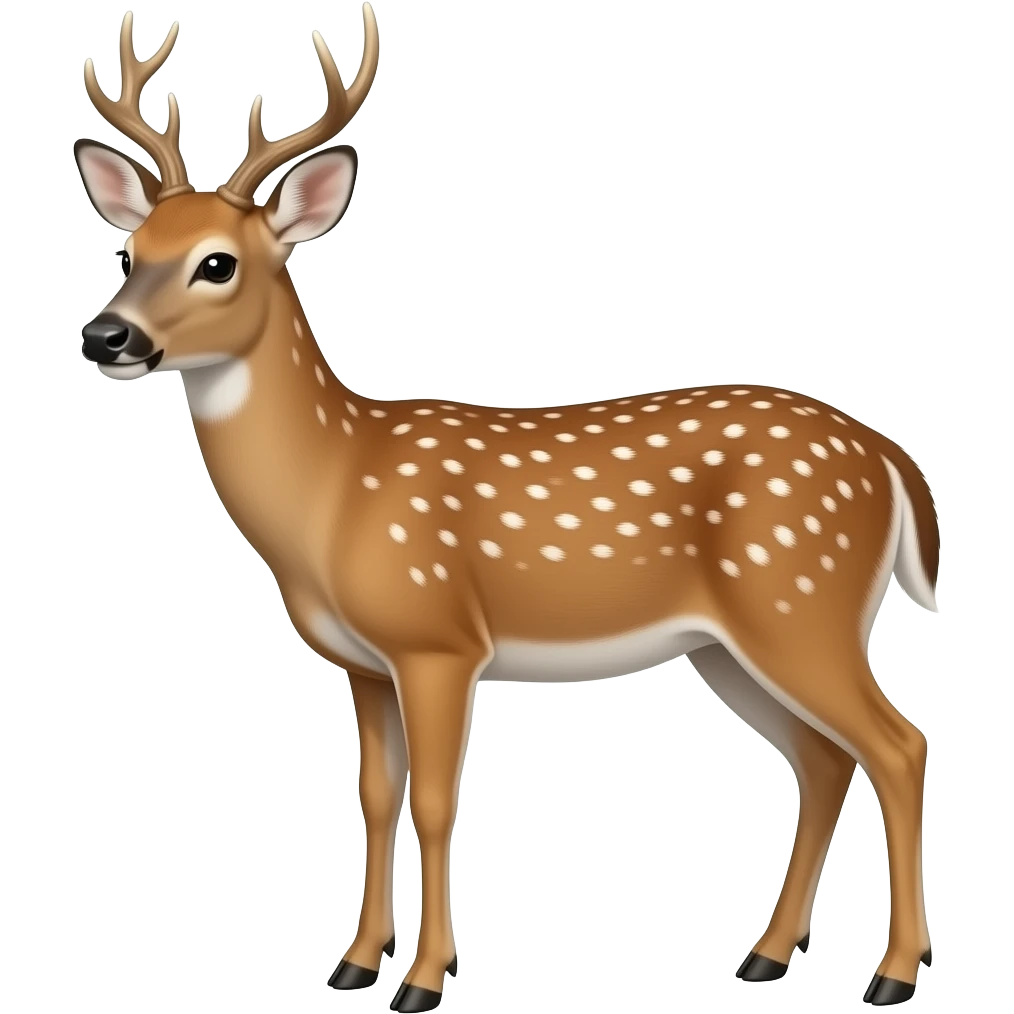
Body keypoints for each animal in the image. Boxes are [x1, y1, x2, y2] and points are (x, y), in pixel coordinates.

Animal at [73, 9, 940, 1011]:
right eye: (131, 253)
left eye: (217, 263)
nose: (107, 336)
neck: (335, 492)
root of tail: (890, 458)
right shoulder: (365, 663)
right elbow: (376, 796)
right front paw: (354, 963)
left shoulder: (439, 638)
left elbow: (437, 800)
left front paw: (423, 979)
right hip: (731, 643)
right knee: (825, 758)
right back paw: (765, 955)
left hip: (802, 601)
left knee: (898, 746)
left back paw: (892, 974)